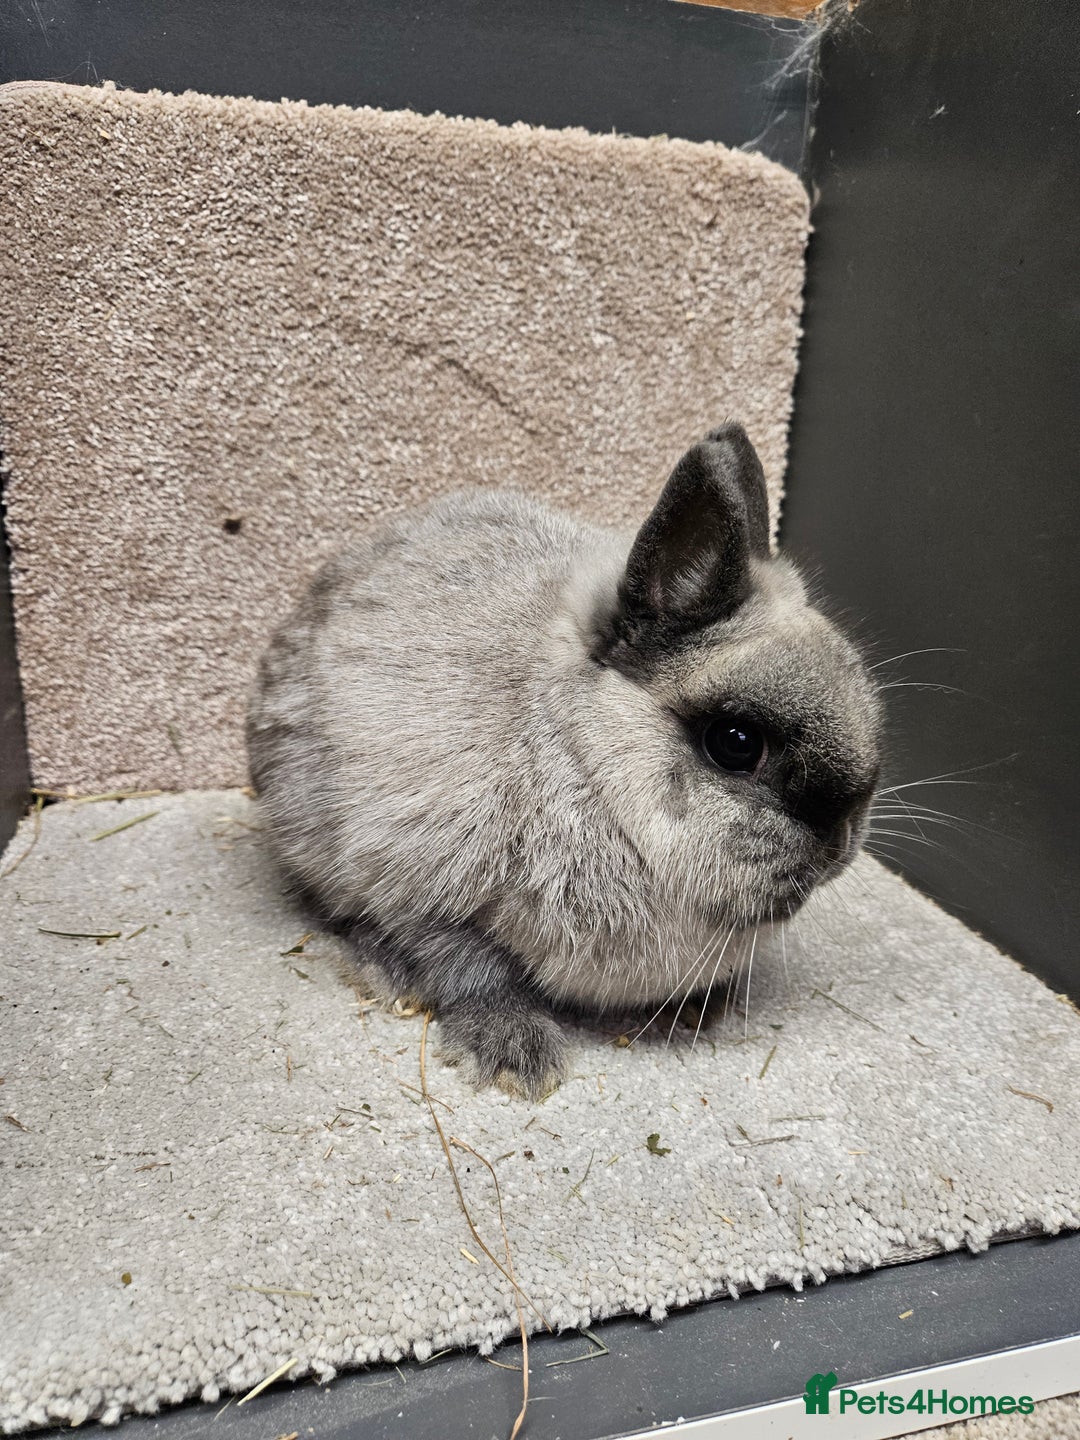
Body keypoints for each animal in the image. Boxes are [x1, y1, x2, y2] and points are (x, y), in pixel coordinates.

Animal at [247, 423, 882, 1100]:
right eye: (735, 742)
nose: (841, 839)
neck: (582, 766)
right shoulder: (419, 886)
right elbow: (468, 967)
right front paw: (516, 1056)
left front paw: (700, 1007)